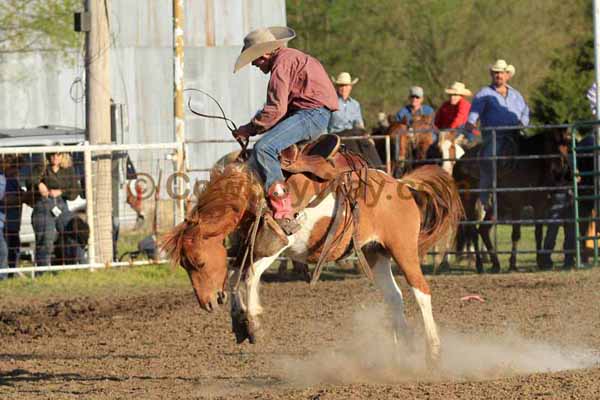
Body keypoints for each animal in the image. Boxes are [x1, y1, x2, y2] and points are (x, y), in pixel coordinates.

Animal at [452, 127, 568, 272]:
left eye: (567, 143)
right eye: (552, 144)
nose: (560, 170)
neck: (531, 164)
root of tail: (459, 163)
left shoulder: (539, 205)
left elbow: (538, 232)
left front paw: (540, 262)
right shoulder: (517, 205)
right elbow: (516, 234)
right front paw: (513, 264)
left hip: (494, 208)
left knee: (483, 230)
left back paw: (495, 264)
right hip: (469, 201)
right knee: (472, 230)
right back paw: (479, 264)